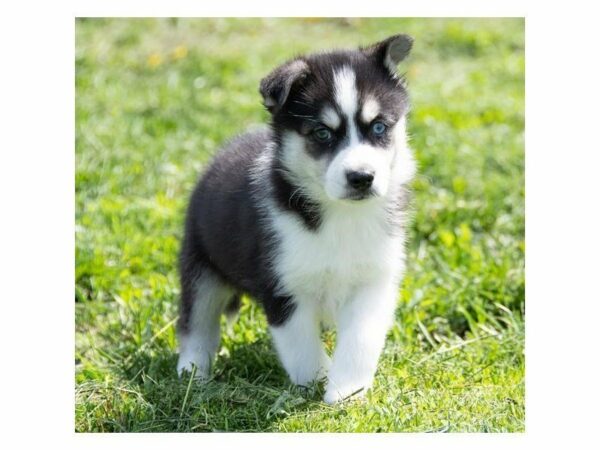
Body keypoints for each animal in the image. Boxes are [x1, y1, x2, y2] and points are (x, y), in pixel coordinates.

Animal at [176, 33, 414, 402]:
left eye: (379, 127)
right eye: (322, 133)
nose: (361, 177)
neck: (340, 216)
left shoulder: (374, 281)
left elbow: (360, 340)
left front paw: (345, 392)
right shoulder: (283, 286)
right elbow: (303, 350)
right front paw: (317, 384)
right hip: (201, 265)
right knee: (196, 322)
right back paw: (192, 373)